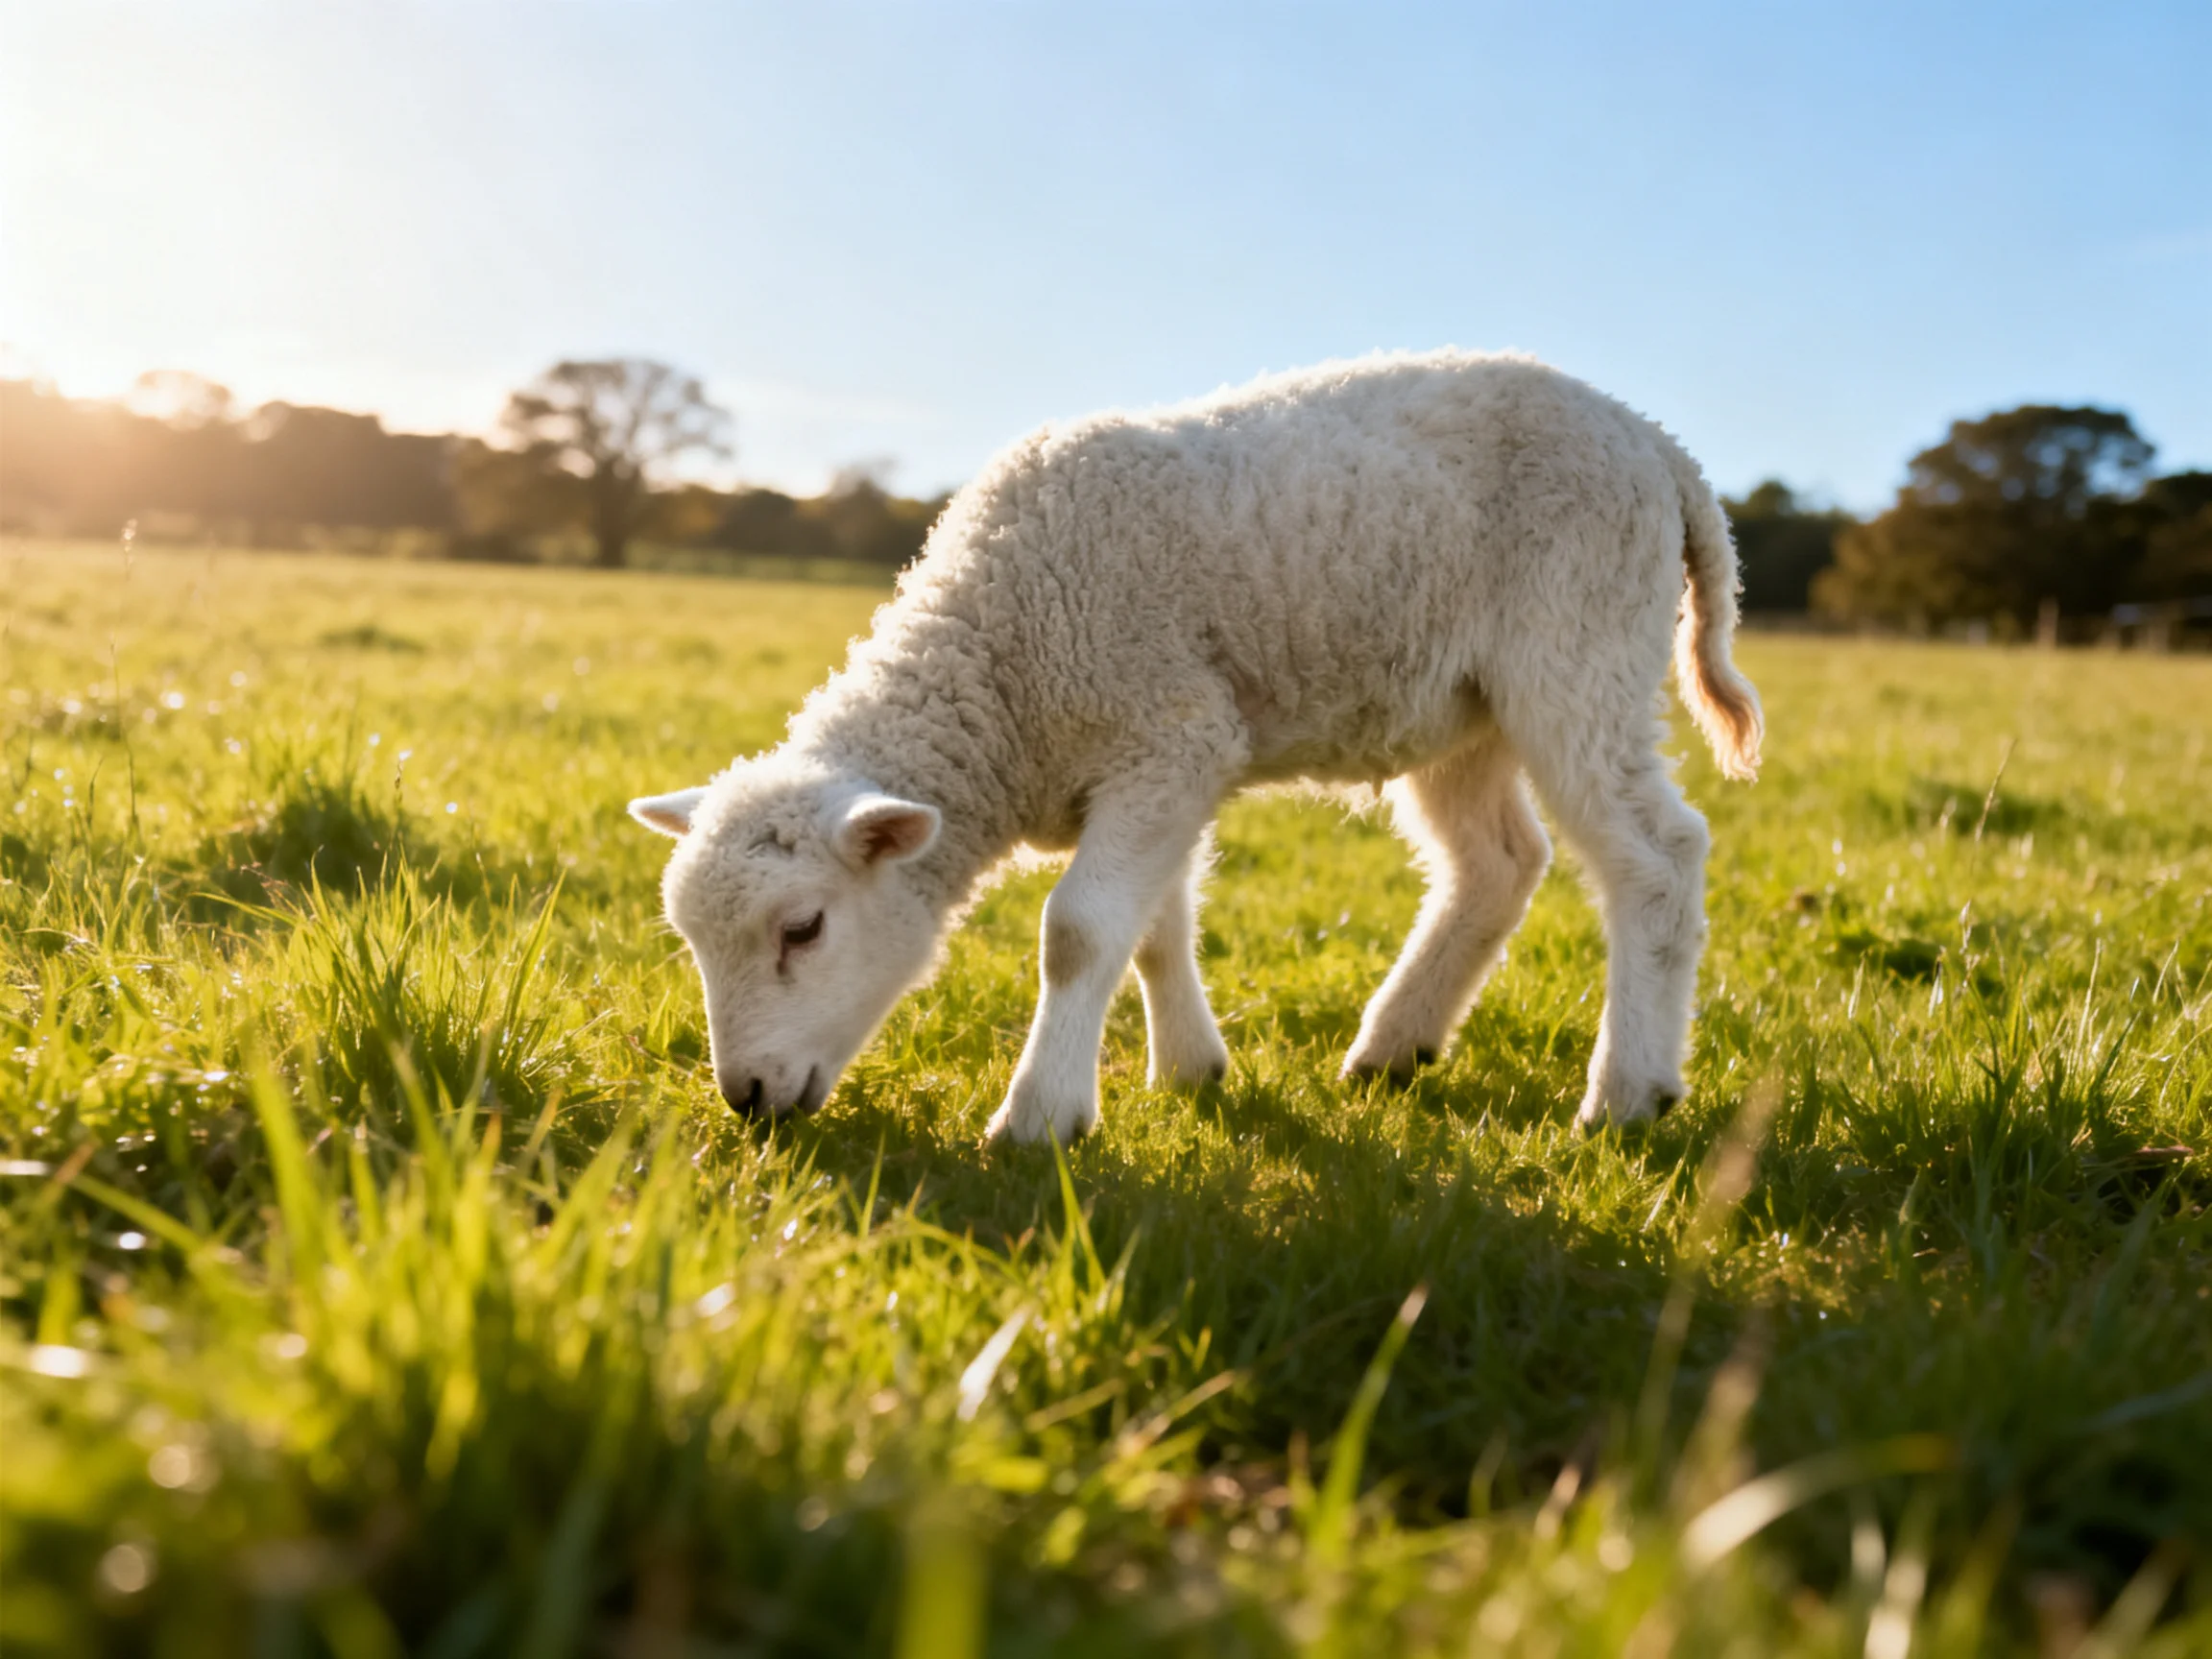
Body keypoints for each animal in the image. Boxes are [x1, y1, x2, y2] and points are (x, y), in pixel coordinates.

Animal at [629, 348, 1762, 1145]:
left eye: (804, 928)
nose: (747, 1096)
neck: (1002, 678)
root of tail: (1660, 448)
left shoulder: (1166, 730)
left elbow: (1080, 931)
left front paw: (1041, 1117)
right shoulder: (1161, 764)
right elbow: (1151, 929)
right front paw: (1189, 1070)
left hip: (1580, 642)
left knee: (1658, 856)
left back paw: (1628, 1093)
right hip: (1465, 705)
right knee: (1498, 864)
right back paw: (1394, 1046)